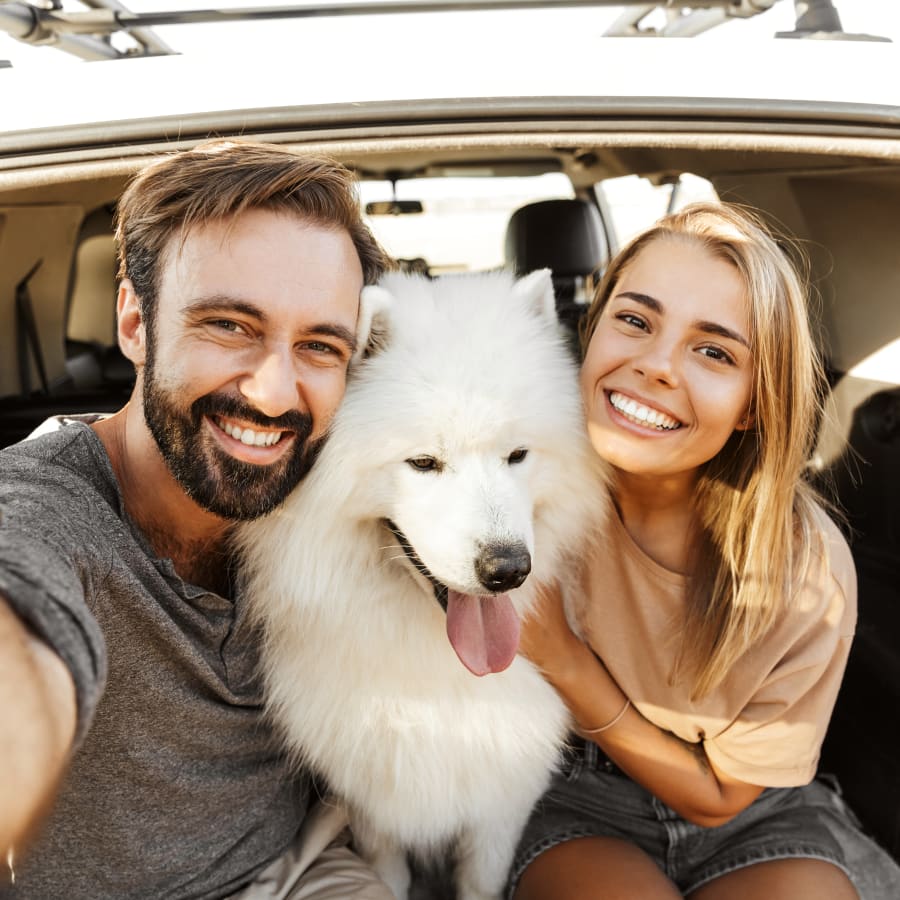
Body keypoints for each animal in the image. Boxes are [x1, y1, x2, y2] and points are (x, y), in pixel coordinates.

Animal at [236, 270, 608, 900]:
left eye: (518, 455)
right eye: (424, 462)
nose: (507, 570)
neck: (440, 669)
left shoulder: (500, 806)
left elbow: (481, 883)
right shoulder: (374, 808)